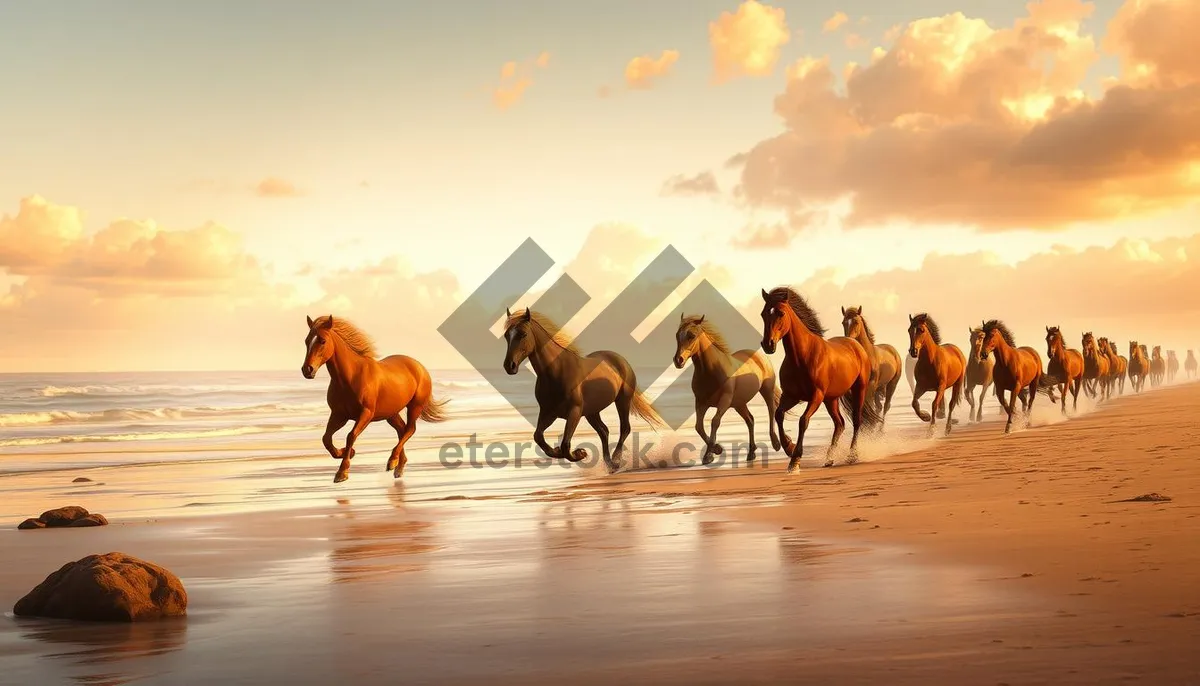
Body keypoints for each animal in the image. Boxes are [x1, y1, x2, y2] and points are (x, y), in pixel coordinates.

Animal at [300, 314, 451, 482]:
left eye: (322, 341)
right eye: (307, 340)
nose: (307, 370)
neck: (350, 377)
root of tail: (420, 367)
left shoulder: (366, 413)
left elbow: (351, 435)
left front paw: (342, 472)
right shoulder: (339, 415)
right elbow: (326, 439)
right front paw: (346, 453)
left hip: (414, 407)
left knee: (410, 429)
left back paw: (392, 461)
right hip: (391, 413)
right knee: (402, 430)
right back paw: (398, 466)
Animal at [499, 307, 662, 474]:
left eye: (523, 334)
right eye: (506, 335)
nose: (509, 366)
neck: (556, 372)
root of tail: (621, 360)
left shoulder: (574, 412)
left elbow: (565, 444)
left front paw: (580, 453)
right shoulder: (548, 412)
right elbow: (538, 436)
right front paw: (559, 451)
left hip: (622, 400)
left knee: (624, 428)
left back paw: (616, 461)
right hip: (592, 412)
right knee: (604, 431)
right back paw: (609, 464)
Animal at [672, 314, 782, 462]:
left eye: (691, 335)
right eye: (677, 335)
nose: (678, 360)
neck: (711, 371)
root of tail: (760, 356)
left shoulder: (724, 401)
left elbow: (715, 422)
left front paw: (709, 455)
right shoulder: (701, 403)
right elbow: (699, 427)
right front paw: (717, 449)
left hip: (766, 390)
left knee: (771, 410)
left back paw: (776, 443)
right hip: (739, 404)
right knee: (750, 420)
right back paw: (751, 452)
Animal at [758, 286, 883, 474]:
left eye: (780, 313)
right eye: (763, 313)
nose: (768, 345)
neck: (802, 357)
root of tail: (855, 344)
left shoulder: (815, 397)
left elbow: (803, 421)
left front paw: (795, 460)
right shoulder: (792, 396)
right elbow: (779, 415)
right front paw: (789, 447)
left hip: (858, 390)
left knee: (856, 420)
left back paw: (852, 456)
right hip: (831, 399)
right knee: (840, 423)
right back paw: (829, 458)